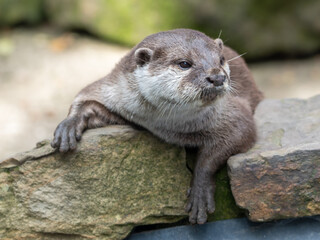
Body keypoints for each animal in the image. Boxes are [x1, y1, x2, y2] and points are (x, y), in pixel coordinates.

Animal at [51, 29, 264, 224]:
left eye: (221, 60)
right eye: (184, 63)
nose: (218, 77)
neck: (165, 123)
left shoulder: (233, 114)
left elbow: (234, 137)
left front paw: (200, 191)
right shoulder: (114, 88)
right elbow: (86, 96)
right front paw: (69, 125)